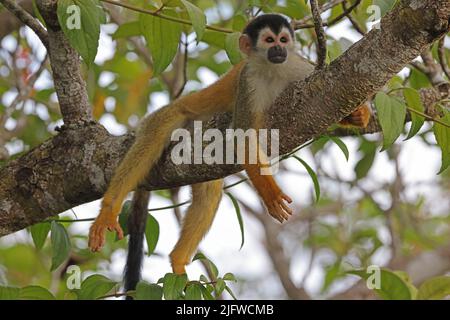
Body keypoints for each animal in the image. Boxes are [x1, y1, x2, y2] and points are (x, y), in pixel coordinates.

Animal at [87, 13, 370, 292]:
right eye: (269, 40)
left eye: (283, 39)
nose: (279, 50)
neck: (273, 70)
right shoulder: (248, 82)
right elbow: (242, 137)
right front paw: (270, 193)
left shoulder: (302, 70)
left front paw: (358, 115)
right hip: (171, 117)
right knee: (155, 134)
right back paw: (109, 210)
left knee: (209, 190)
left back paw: (178, 260)